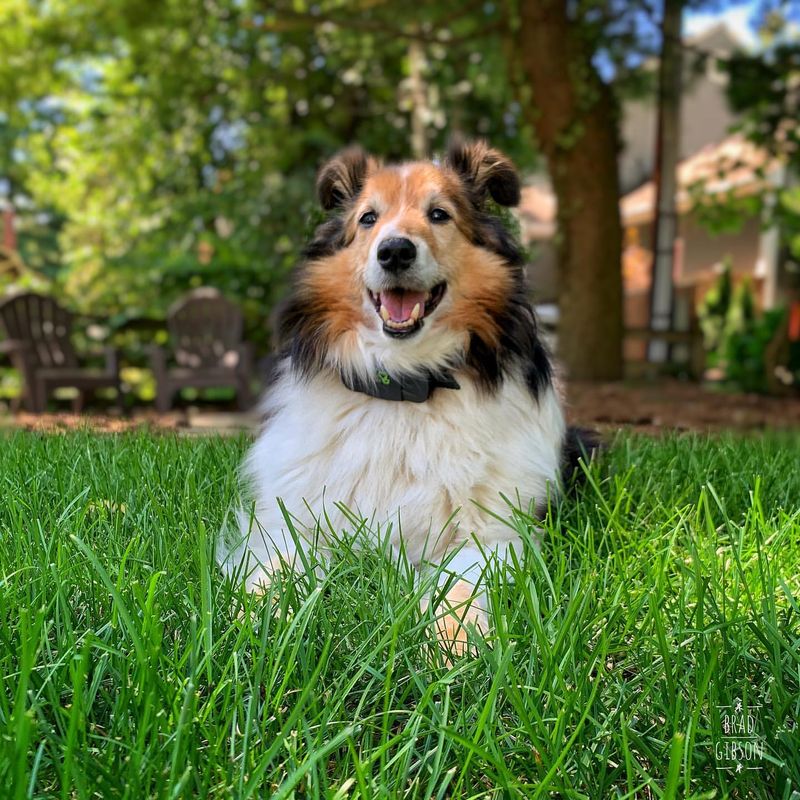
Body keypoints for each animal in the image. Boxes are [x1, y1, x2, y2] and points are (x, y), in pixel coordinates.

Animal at [223, 141, 588, 656]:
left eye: (439, 214)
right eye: (368, 218)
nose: (395, 250)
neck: (402, 386)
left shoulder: (496, 529)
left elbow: (460, 582)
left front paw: (454, 643)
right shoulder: (294, 517)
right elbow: (275, 570)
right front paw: (257, 624)